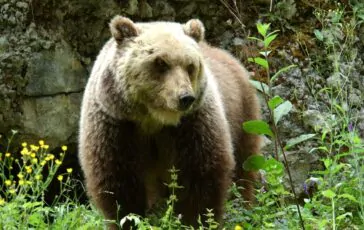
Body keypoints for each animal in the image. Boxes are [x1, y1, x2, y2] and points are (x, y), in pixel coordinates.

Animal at [79, 15, 262, 229]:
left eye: (190, 65)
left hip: (243, 115)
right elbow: (118, 181)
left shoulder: (192, 124)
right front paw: (129, 219)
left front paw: (196, 221)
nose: (185, 97)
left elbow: (201, 175)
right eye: (160, 63)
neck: (153, 119)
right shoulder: (116, 125)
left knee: (244, 166)